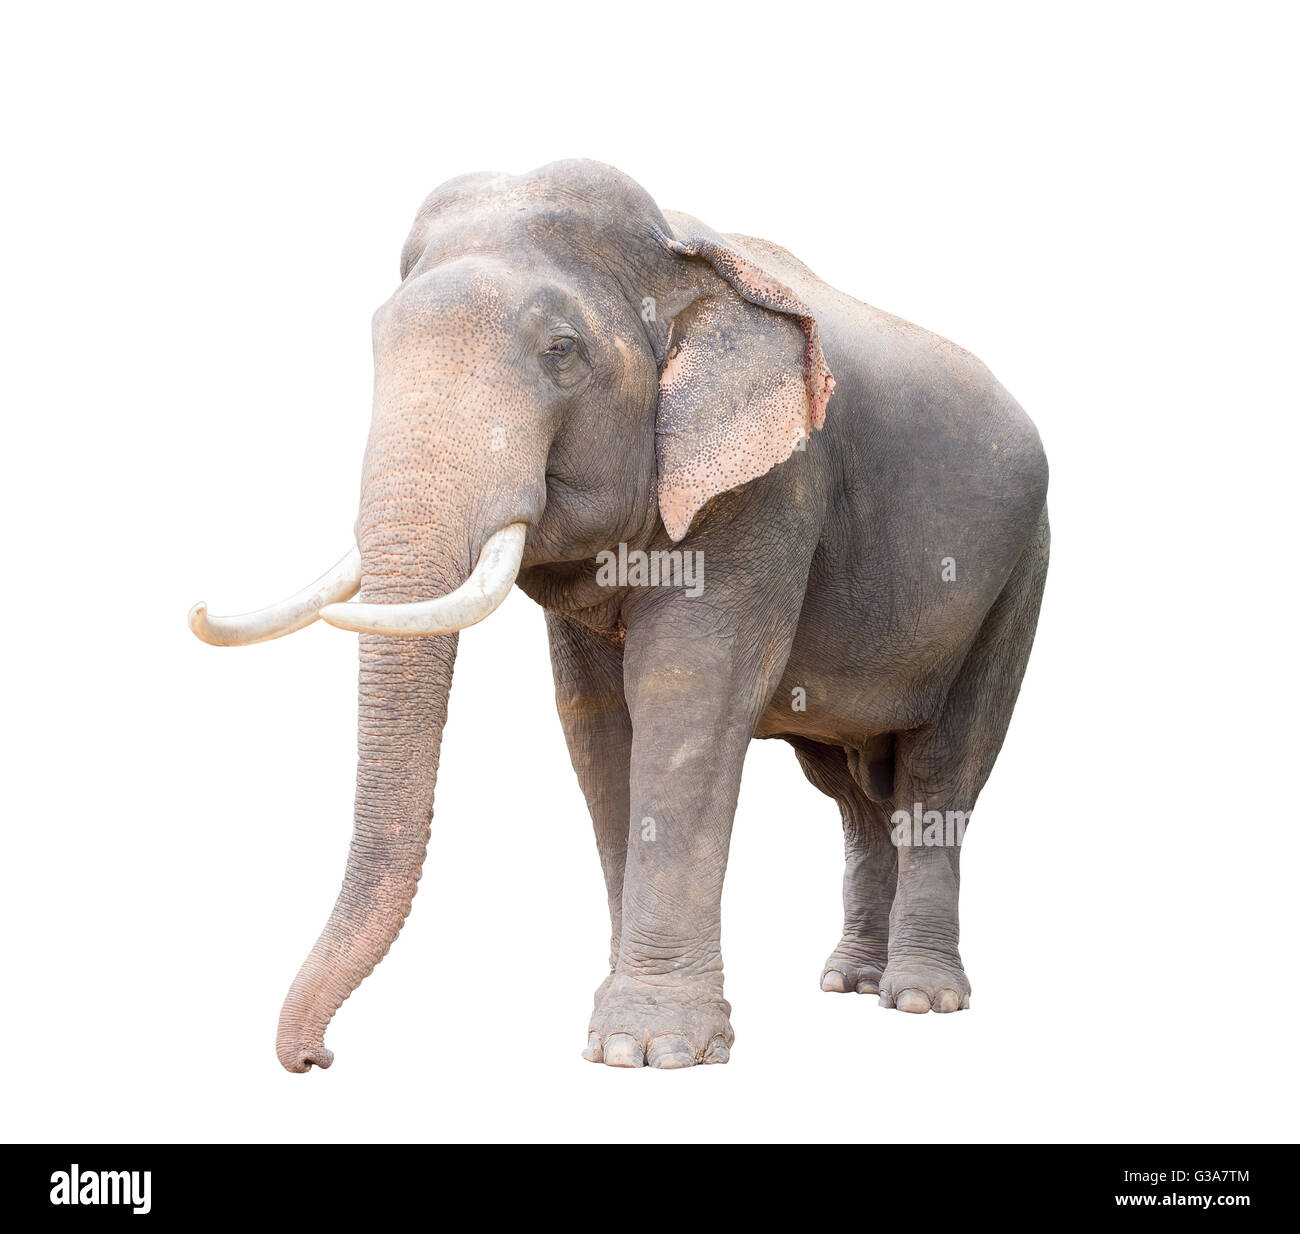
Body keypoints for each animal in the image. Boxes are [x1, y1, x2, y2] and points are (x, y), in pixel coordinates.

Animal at [189, 159, 1049, 1072]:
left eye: (561, 352)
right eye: (376, 341)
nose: (314, 1059)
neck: (681, 259)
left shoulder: (772, 486)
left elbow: (688, 694)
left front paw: (655, 1049)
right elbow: (596, 718)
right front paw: (622, 1032)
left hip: (1020, 571)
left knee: (939, 769)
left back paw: (920, 999)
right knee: (850, 791)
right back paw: (847, 983)